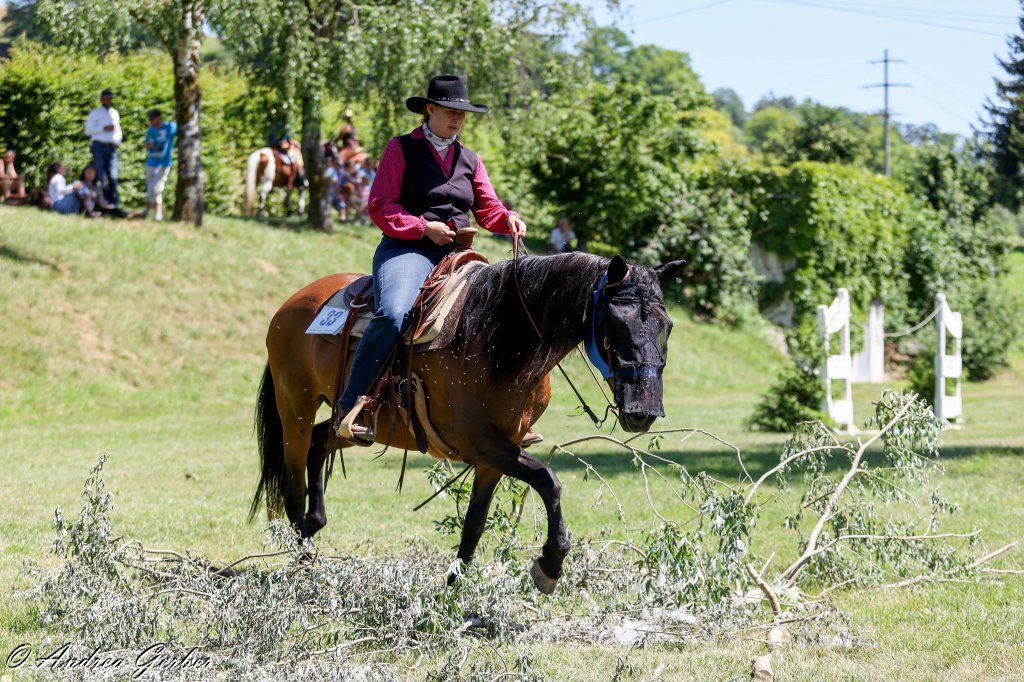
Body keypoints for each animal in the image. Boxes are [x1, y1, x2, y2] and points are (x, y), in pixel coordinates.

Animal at [249, 251, 683, 593]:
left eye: (667, 325)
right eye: (615, 324)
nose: (643, 410)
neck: (498, 339)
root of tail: (291, 305)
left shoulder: (498, 452)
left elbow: (474, 524)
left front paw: (453, 593)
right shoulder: (483, 444)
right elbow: (549, 481)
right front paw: (550, 563)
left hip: (356, 427)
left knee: (321, 443)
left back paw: (314, 529)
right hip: (295, 409)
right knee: (293, 483)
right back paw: (305, 563)